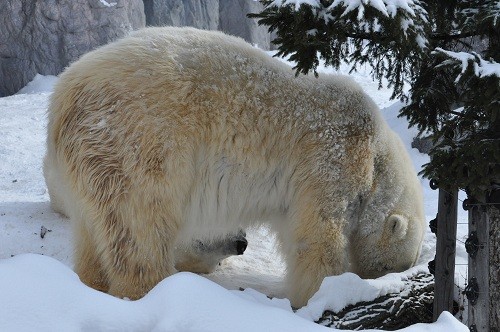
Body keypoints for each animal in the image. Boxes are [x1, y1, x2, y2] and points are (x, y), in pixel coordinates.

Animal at [44, 27, 426, 308]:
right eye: (391, 265)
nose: (378, 278)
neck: (376, 151)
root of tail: (64, 98)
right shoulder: (331, 159)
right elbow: (317, 236)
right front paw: (318, 295)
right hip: (140, 141)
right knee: (141, 226)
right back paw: (149, 288)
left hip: (93, 160)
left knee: (95, 229)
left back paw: (91, 283)